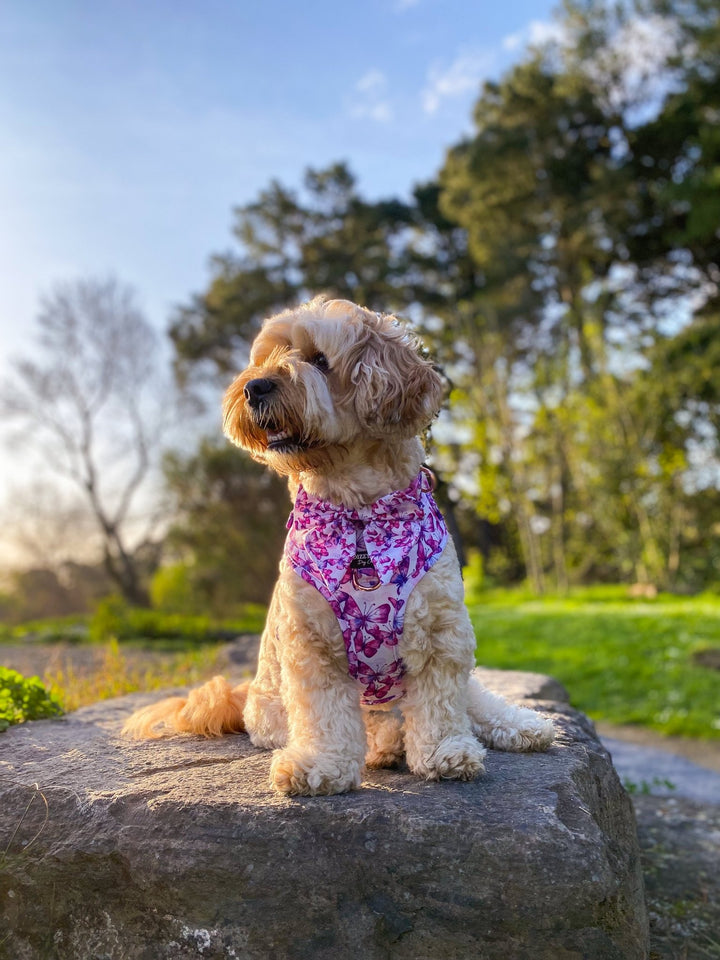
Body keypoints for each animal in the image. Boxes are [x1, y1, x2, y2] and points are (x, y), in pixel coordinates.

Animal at [124, 298, 556, 796]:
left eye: (319, 360)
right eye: (266, 358)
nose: (253, 387)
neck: (359, 516)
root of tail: (243, 693)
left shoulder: (442, 630)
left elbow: (444, 703)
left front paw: (445, 752)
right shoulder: (311, 643)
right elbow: (325, 715)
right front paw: (321, 766)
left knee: (472, 698)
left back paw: (520, 724)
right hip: (275, 712)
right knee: (373, 722)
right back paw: (385, 744)